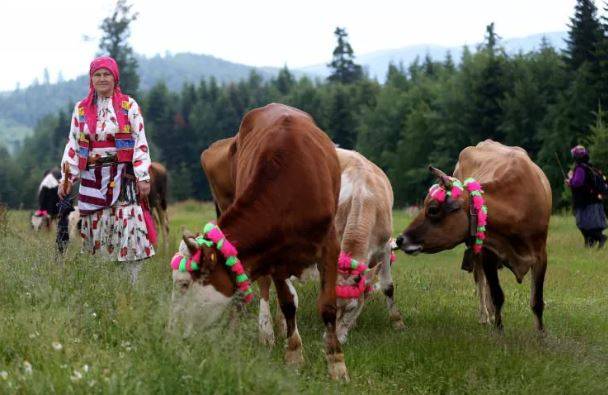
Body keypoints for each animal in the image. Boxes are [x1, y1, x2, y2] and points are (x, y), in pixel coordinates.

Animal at [173, 103, 350, 382]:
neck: (289, 193)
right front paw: (294, 354)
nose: (170, 330)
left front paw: (337, 364)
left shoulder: (329, 246)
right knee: (266, 285)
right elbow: (287, 303)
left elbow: (328, 306)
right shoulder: (274, 253)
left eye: (182, 284)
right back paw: (265, 331)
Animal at [394, 141, 552, 332]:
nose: (400, 239)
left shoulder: (541, 254)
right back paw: (485, 316)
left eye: (432, 209)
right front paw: (498, 330)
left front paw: (541, 333)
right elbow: (497, 294)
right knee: (480, 280)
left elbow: (537, 301)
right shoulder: (488, 252)